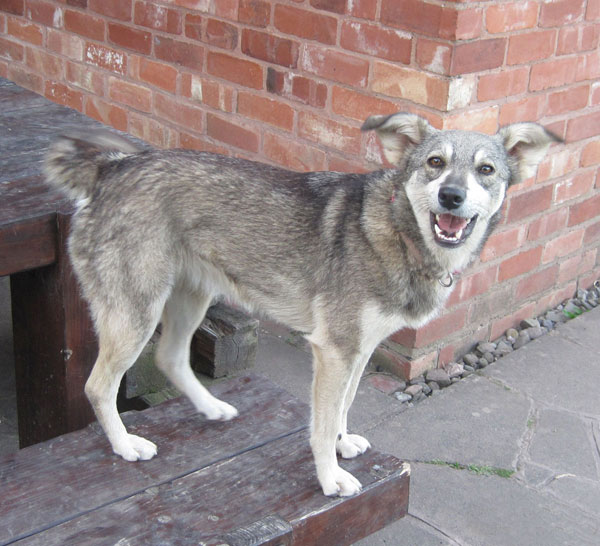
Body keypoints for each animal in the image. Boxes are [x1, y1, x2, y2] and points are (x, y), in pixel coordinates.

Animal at [45, 112, 556, 496]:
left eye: (486, 171)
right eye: (435, 162)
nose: (452, 196)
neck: (398, 232)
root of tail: (112, 167)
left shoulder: (359, 351)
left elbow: (344, 407)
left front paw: (343, 445)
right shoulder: (334, 351)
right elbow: (321, 423)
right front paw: (331, 476)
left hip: (191, 299)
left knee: (170, 358)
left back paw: (211, 408)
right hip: (137, 314)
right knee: (98, 386)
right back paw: (125, 445)